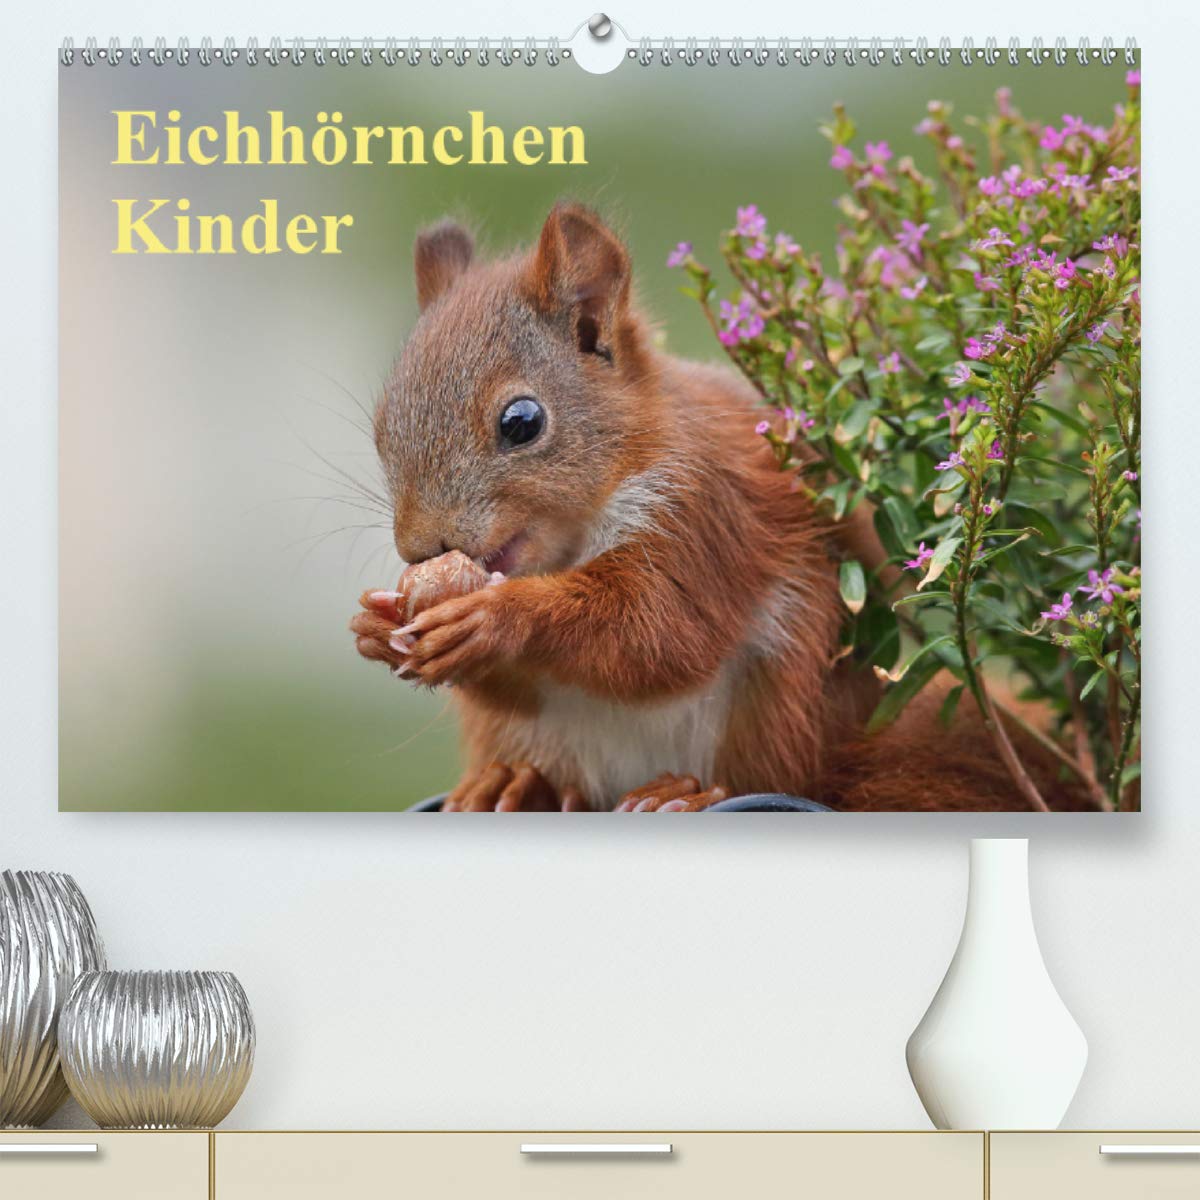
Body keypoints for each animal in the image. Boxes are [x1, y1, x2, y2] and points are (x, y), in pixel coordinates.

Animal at [350, 203, 1092, 813]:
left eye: (522, 422)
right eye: (381, 427)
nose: (421, 549)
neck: (576, 534)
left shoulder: (704, 513)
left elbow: (656, 633)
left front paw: (497, 615)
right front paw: (372, 629)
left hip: (781, 698)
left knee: (773, 776)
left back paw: (686, 794)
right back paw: (518, 782)